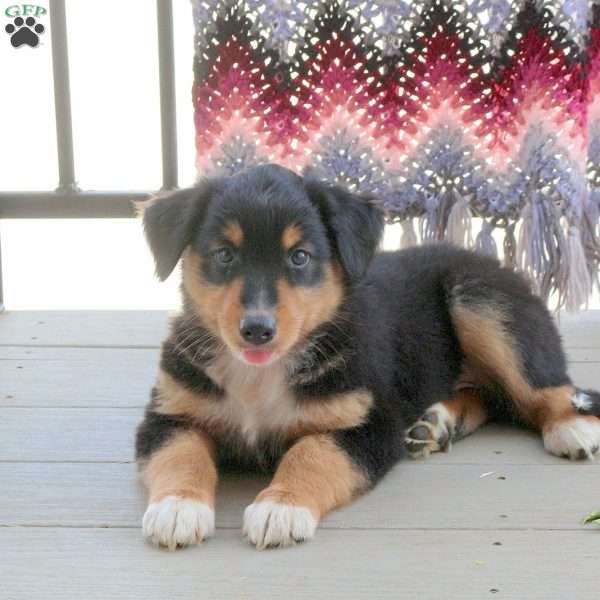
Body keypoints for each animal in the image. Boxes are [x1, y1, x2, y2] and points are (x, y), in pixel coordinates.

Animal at [135, 163, 600, 548]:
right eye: (224, 255)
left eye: (299, 257)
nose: (257, 330)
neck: (260, 375)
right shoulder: (168, 415)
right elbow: (180, 454)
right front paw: (178, 508)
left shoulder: (368, 424)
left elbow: (312, 454)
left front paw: (279, 508)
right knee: (493, 396)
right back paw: (435, 424)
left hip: (482, 302)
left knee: (546, 388)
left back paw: (571, 428)